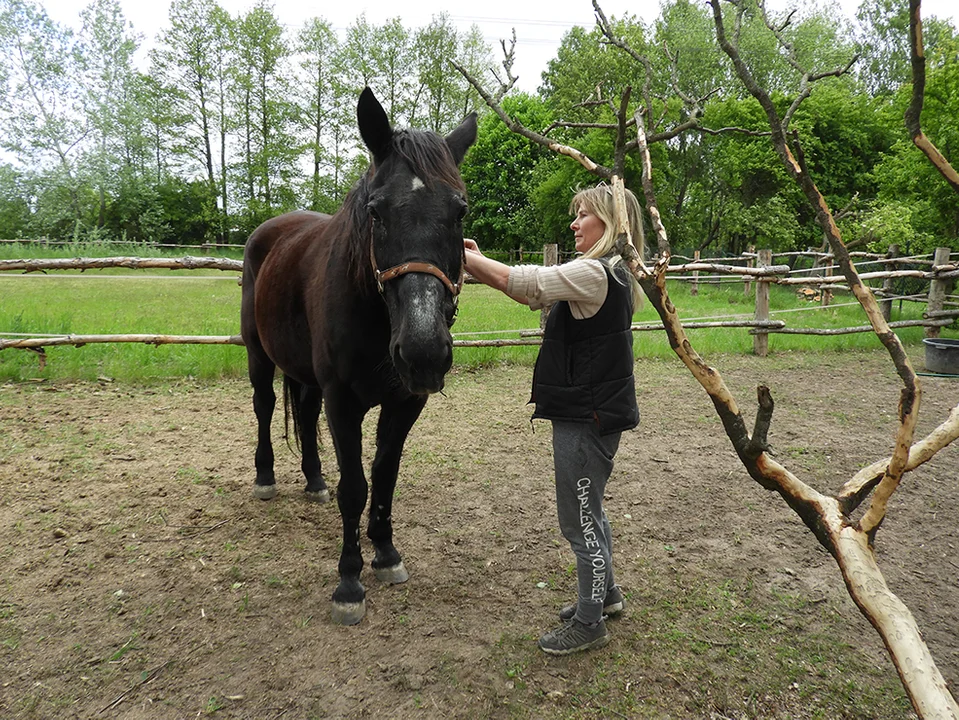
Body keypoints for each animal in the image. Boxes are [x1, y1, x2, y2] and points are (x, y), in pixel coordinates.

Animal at [242, 87, 478, 620]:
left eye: (460, 211)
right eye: (375, 212)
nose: (423, 351)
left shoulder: (406, 402)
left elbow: (384, 477)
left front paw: (386, 554)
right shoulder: (343, 403)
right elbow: (355, 487)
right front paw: (349, 581)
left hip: (306, 375)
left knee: (304, 413)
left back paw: (313, 481)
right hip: (258, 354)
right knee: (265, 406)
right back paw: (265, 477)